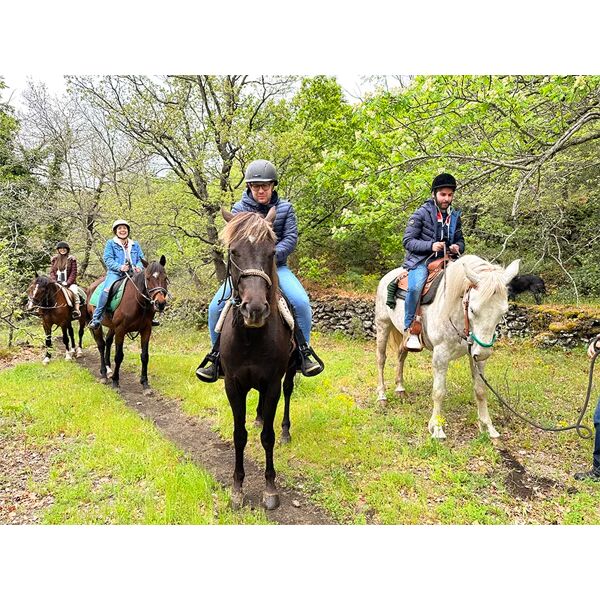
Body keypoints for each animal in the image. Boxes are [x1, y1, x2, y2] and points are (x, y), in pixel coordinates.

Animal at [86, 255, 169, 392]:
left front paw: (145, 383)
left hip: (112, 327)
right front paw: (115, 381)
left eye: (165, 278)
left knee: (108, 341)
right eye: (148, 278)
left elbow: (145, 356)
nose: (160, 303)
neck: (138, 301)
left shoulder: (146, 330)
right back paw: (104, 374)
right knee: (101, 345)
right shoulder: (121, 330)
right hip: (97, 325)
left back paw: (109, 369)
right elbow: (119, 356)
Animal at [218, 209, 298, 508]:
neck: (251, 339)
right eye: (234, 252)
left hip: (289, 373)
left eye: (272, 252)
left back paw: (285, 430)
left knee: (288, 392)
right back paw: (259, 417)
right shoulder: (232, 385)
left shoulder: (273, 382)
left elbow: (268, 437)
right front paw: (237, 488)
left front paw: (270, 489)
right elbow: (239, 435)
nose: (254, 309)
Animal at [378, 255, 516, 438]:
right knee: (381, 359)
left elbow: (480, 390)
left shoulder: (476, 356)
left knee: (401, 355)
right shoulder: (440, 356)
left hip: (404, 335)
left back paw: (400, 389)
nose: (484, 353)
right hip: (382, 325)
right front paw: (437, 428)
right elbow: (439, 392)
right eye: (473, 310)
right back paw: (382, 396)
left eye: (503, 312)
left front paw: (488, 427)